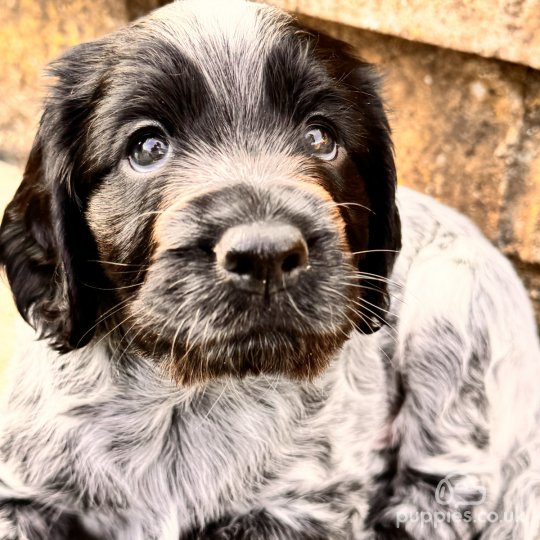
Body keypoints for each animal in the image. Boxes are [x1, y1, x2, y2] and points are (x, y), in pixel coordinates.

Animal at [1, 1, 540, 540]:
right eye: (147, 147)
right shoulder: (23, 493)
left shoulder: (302, 509)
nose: (266, 256)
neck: (185, 397)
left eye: (321, 137)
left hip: (454, 296)